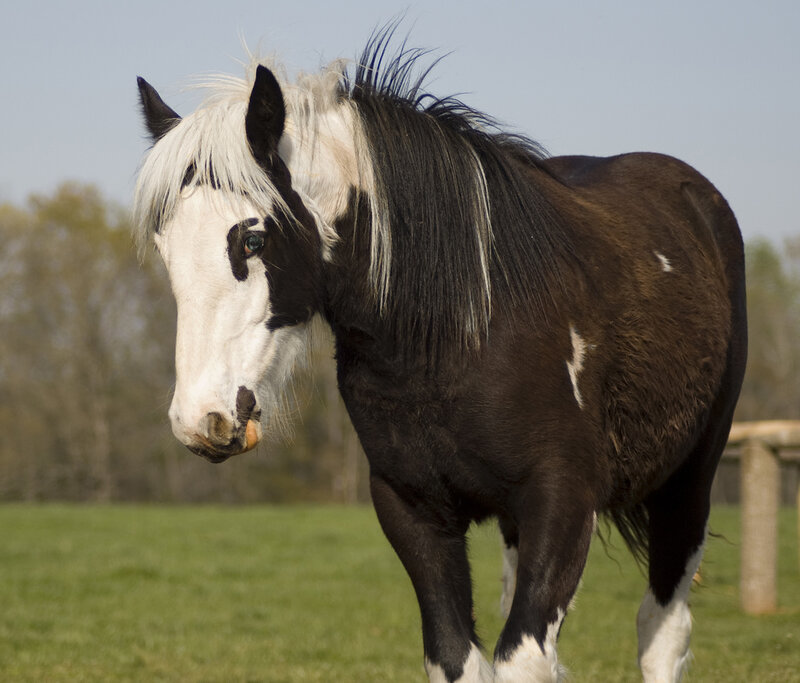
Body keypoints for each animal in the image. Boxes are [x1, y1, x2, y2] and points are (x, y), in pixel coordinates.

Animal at [133, 31, 747, 683]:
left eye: (252, 238)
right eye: (165, 248)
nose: (201, 420)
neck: (461, 334)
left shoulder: (562, 500)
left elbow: (523, 658)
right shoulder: (414, 509)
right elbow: (458, 658)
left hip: (690, 484)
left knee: (661, 631)